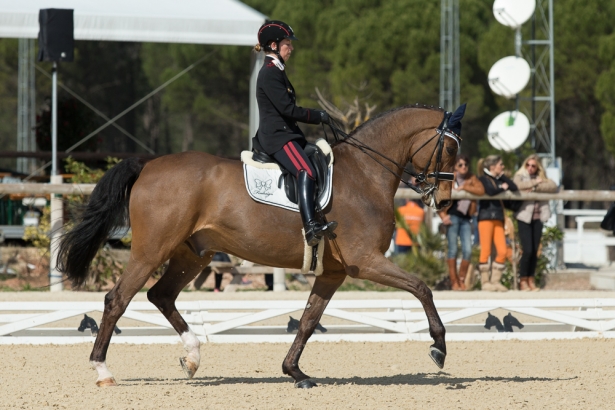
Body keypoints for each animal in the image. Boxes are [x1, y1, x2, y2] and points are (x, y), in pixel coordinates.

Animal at [59, 105, 462, 388]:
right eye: (449, 148)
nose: (443, 202)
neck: (365, 173)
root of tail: (148, 165)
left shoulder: (333, 272)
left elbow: (308, 320)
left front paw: (295, 372)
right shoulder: (365, 262)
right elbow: (422, 288)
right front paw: (439, 348)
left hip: (192, 255)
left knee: (160, 295)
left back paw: (192, 357)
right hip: (151, 251)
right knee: (118, 299)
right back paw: (103, 371)